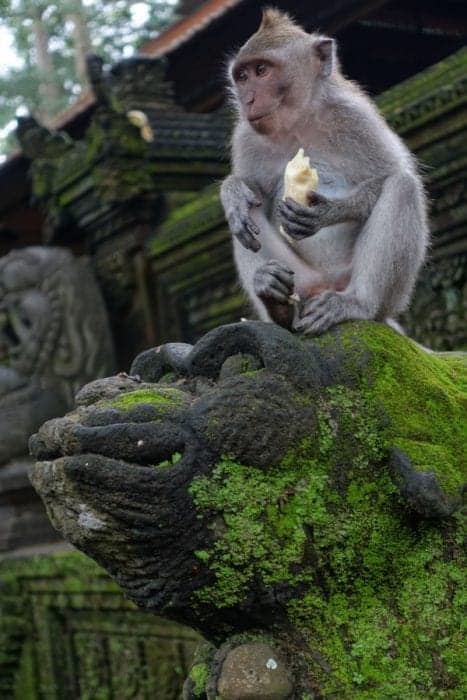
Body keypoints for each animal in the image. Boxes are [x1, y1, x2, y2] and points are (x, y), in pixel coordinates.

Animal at [220, 8, 429, 335]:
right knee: (244, 223)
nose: (248, 100)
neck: (297, 121)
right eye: (241, 77)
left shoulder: (353, 118)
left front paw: (328, 212)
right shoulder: (246, 137)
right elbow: (253, 195)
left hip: (375, 290)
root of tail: (328, 284)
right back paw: (276, 304)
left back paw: (357, 303)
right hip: (303, 280)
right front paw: (233, 192)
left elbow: (389, 174)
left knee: (402, 186)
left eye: (261, 70)